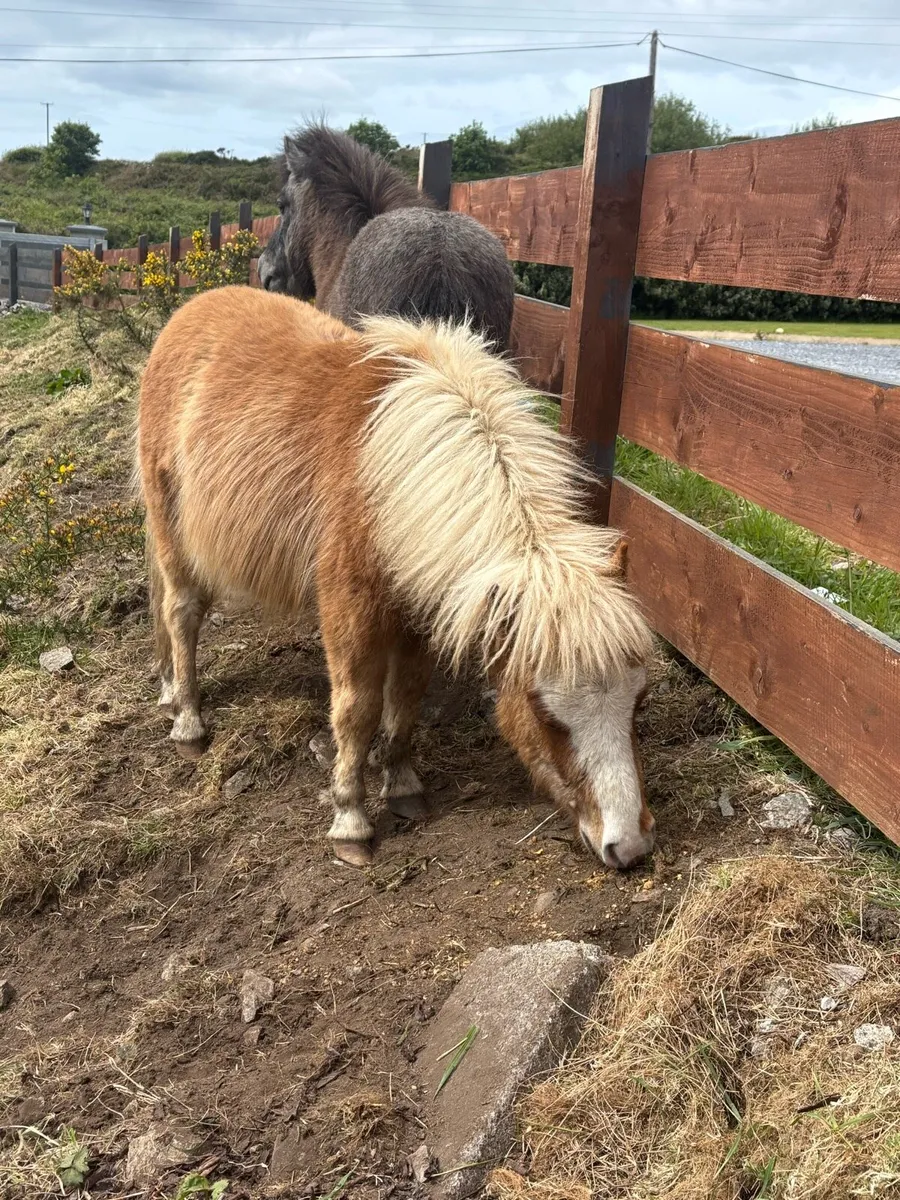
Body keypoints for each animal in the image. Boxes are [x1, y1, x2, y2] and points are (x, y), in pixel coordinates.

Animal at [136, 286, 656, 870]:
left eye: (638, 701)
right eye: (546, 715)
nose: (629, 846)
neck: (391, 482)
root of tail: (188, 315)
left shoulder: (416, 612)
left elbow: (406, 696)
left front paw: (404, 784)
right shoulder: (350, 611)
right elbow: (356, 710)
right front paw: (350, 820)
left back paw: (169, 691)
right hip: (172, 531)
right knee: (180, 613)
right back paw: (187, 720)